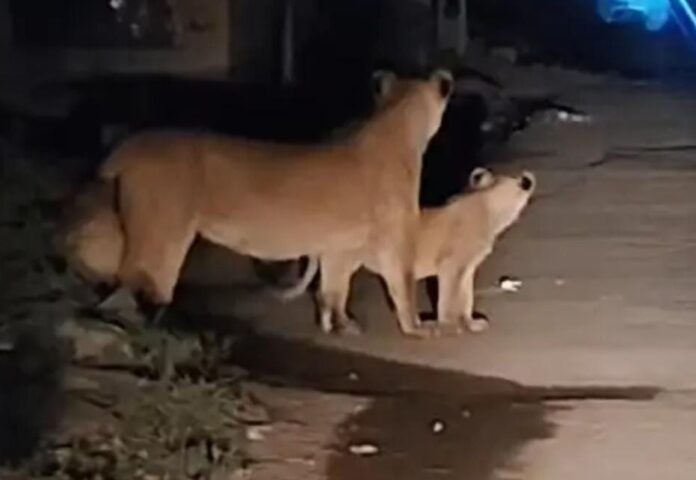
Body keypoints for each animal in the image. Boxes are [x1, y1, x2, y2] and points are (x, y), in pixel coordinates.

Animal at [58, 69, 454, 337]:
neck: (394, 121)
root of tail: (128, 143)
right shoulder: (395, 239)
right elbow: (402, 284)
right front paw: (418, 327)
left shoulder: (339, 246)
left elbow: (334, 288)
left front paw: (338, 324)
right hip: (163, 230)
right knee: (139, 276)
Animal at [277, 167, 536, 334]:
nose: (527, 181)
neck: (487, 206)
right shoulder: (450, 266)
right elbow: (449, 296)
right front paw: (449, 324)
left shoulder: (466, 268)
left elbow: (466, 297)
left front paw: (471, 323)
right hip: (350, 262)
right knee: (332, 295)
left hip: (340, 264)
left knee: (326, 294)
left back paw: (332, 326)